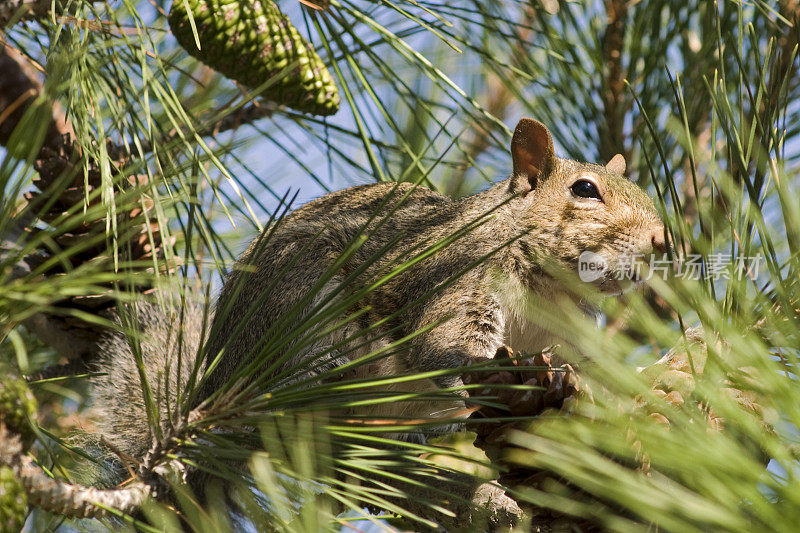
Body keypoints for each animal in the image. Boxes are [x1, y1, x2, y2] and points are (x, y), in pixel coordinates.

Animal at [90, 117, 664, 478]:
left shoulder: (571, 334)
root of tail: (216, 381)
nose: (662, 240)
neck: (550, 288)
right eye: (585, 190)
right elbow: (446, 351)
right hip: (308, 319)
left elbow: (590, 372)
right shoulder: (459, 284)